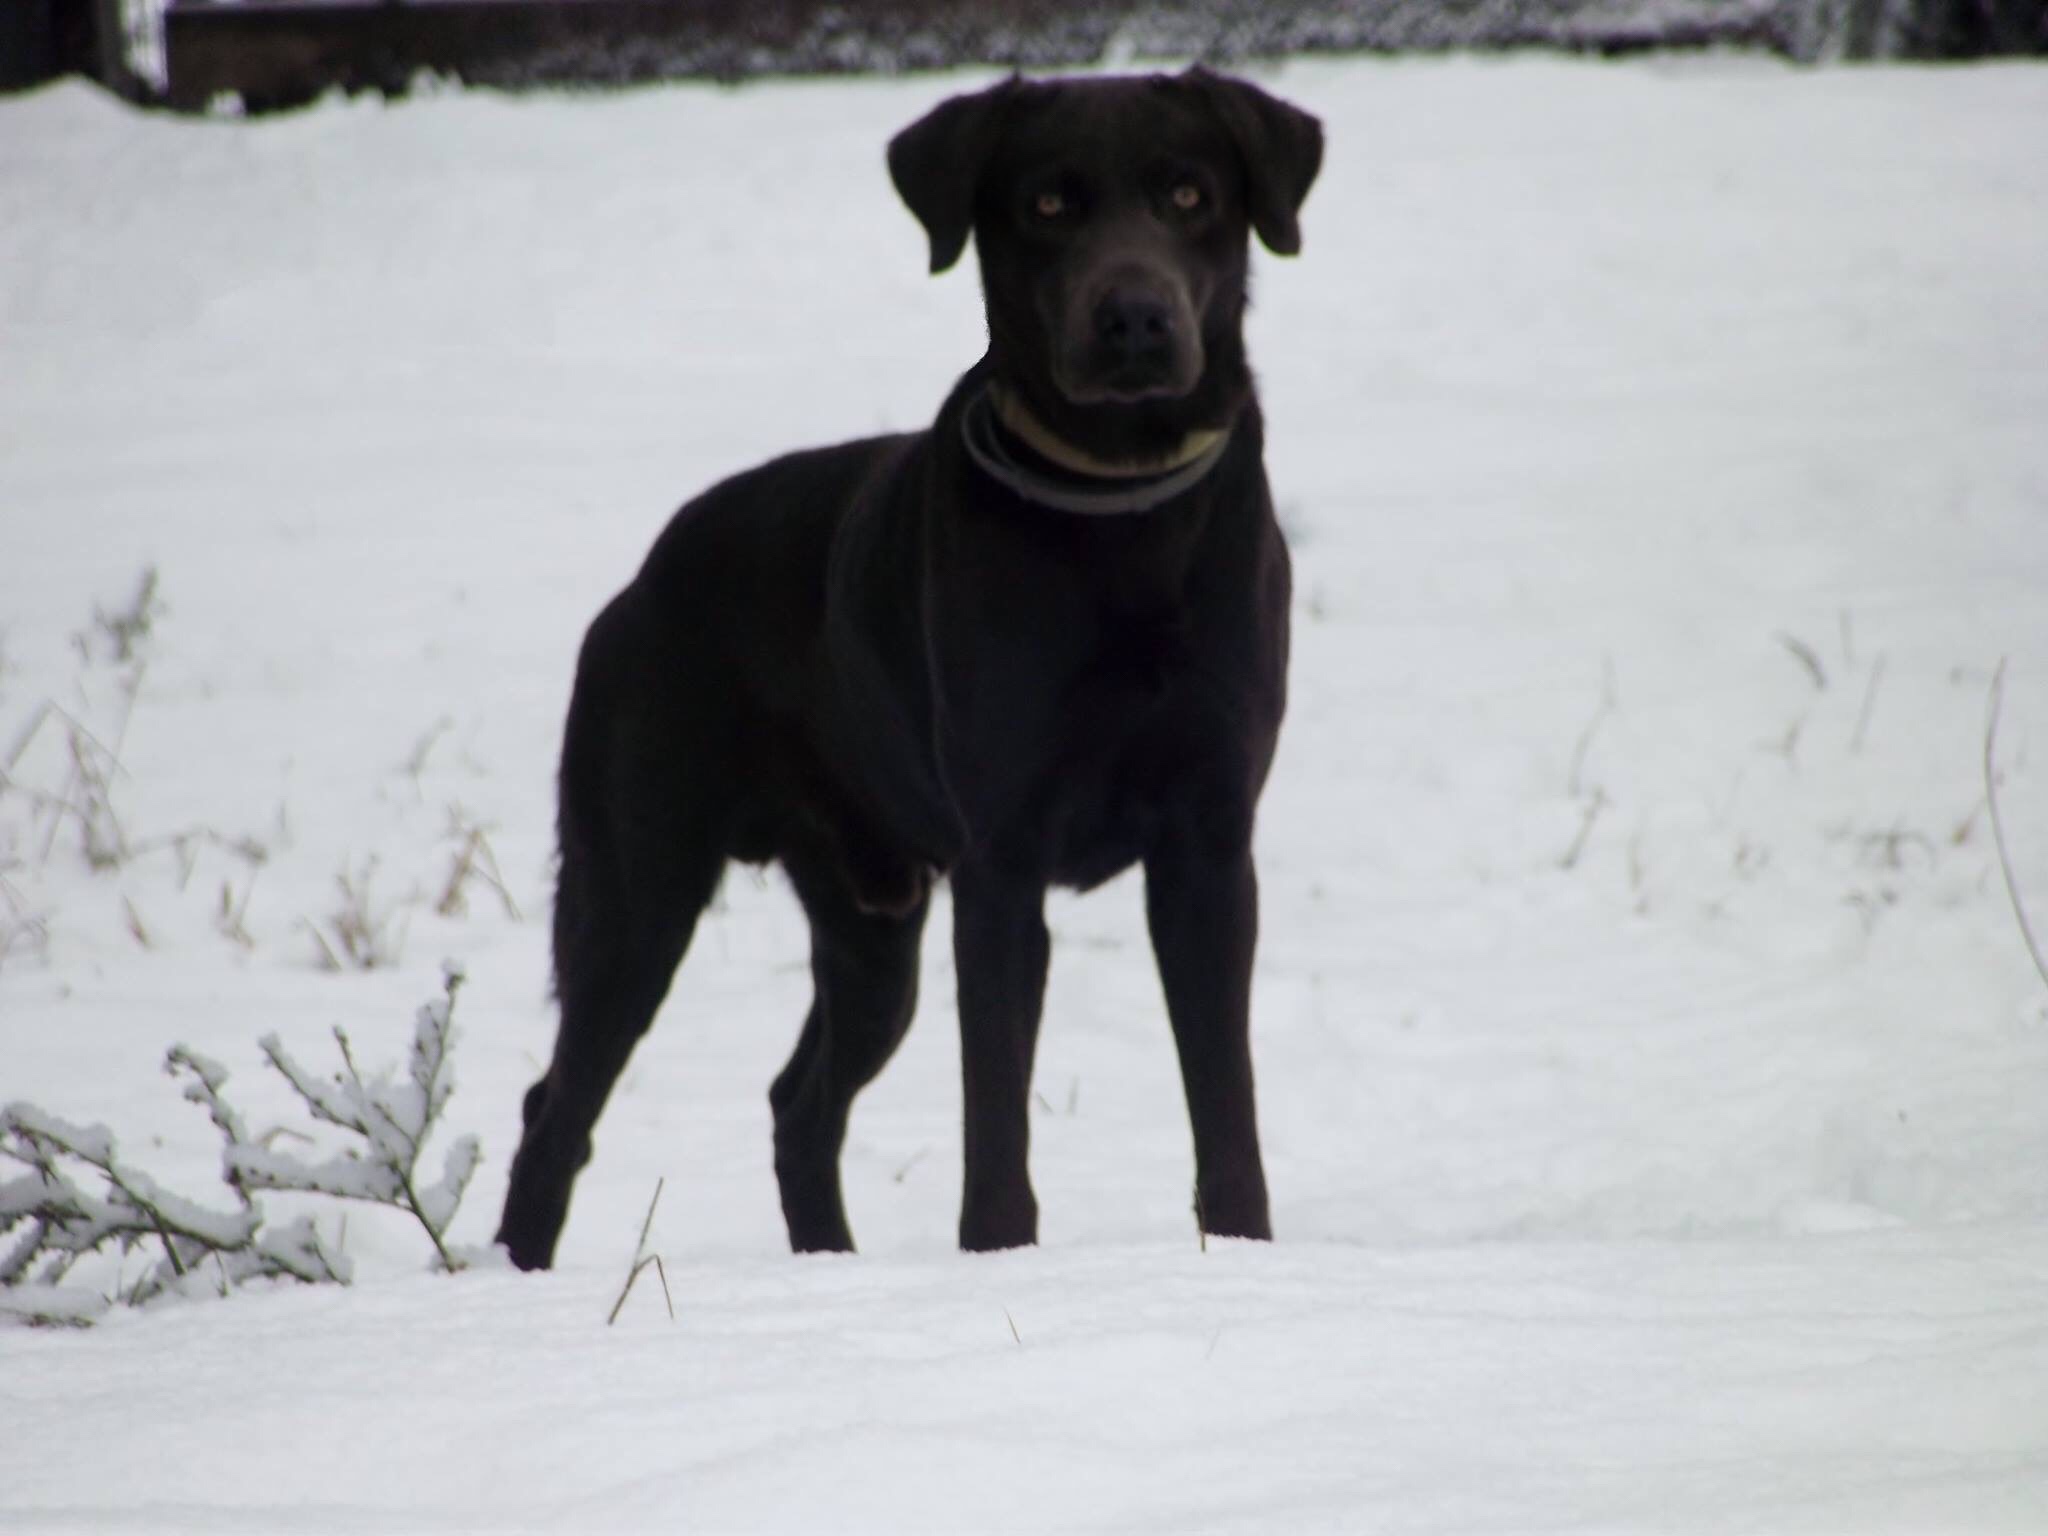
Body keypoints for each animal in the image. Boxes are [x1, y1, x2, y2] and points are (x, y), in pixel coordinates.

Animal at [503, 69, 1318, 1277]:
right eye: (1045, 204)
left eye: (1187, 193)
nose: (1132, 317)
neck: (1119, 515)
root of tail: (645, 579)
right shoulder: (1001, 864)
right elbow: (996, 1109)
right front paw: (998, 1257)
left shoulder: (1209, 850)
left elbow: (1225, 1103)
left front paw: (1246, 1251)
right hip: (634, 889)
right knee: (555, 1109)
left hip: (870, 928)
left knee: (797, 1104)